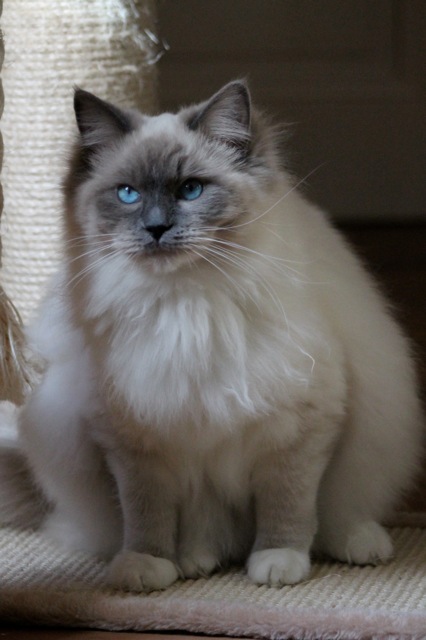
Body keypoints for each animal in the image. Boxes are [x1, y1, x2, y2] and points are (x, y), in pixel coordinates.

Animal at [0, 82, 422, 592]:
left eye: (191, 190)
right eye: (127, 194)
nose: (156, 228)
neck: (187, 306)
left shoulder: (300, 427)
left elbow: (288, 506)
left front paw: (278, 564)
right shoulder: (136, 441)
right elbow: (146, 514)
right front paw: (146, 567)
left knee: (338, 515)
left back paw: (361, 544)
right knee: (203, 535)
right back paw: (191, 561)